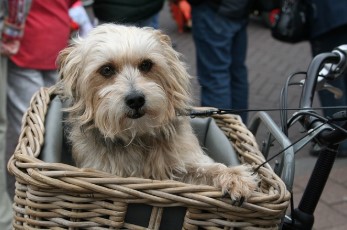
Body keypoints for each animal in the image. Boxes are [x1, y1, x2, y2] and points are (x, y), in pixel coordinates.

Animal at [57, 22, 258, 199]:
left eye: (146, 64)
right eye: (106, 70)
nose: (136, 99)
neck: (137, 137)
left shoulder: (181, 165)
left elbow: (205, 168)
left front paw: (234, 176)